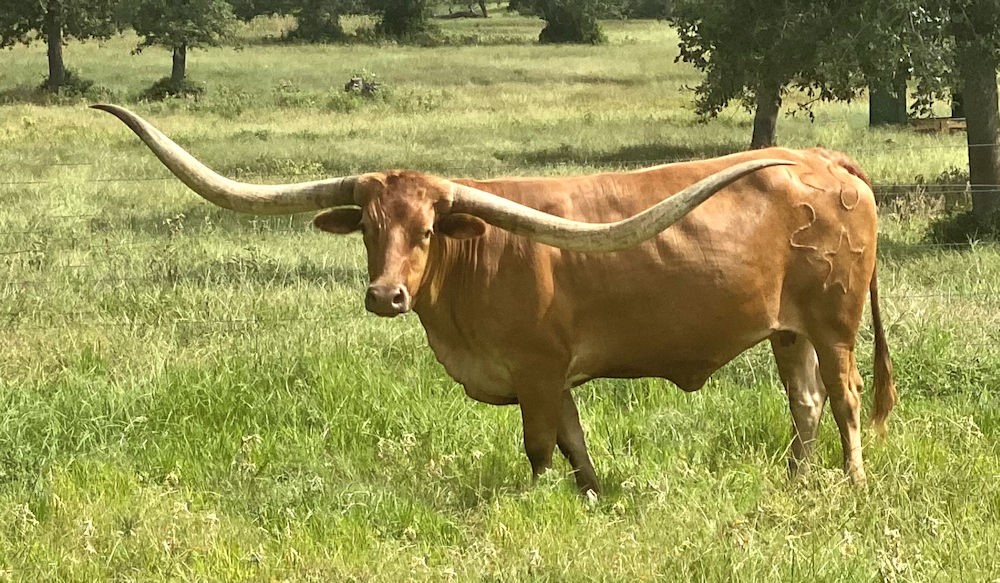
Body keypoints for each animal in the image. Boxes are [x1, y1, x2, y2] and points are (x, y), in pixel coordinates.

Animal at [93, 104, 896, 494]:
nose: (384, 295)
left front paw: (539, 502)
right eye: (370, 230)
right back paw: (794, 481)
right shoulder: (552, 378)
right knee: (805, 403)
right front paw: (593, 495)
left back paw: (852, 483)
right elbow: (574, 443)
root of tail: (825, 162)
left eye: (425, 231)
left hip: (834, 322)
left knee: (847, 397)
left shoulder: (537, 372)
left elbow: (541, 448)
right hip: (787, 331)